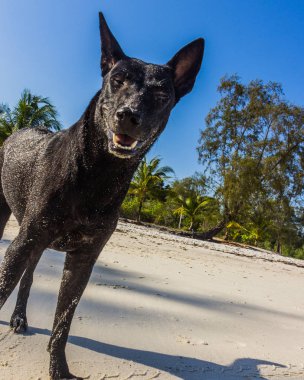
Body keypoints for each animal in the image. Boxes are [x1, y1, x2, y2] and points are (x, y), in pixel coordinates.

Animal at [0, 11, 204, 380]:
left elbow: (62, 325)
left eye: (161, 94)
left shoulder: (83, 260)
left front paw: (59, 370)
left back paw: (20, 318)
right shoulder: (23, 244)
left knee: (29, 278)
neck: (96, 175)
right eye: (117, 80)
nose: (129, 115)